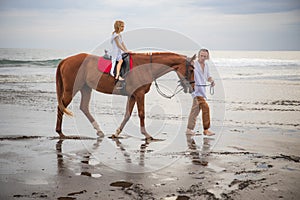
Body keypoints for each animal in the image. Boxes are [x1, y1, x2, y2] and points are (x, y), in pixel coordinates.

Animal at [55, 52, 197, 139]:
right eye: (191, 70)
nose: (192, 88)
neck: (145, 67)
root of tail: (65, 60)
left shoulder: (132, 96)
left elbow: (127, 115)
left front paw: (117, 133)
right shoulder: (139, 94)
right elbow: (141, 114)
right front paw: (146, 134)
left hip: (85, 88)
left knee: (84, 107)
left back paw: (99, 130)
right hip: (71, 90)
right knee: (61, 107)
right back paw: (60, 132)